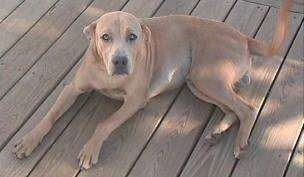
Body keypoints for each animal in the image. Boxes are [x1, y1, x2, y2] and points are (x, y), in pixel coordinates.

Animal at [13, 0, 294, 169]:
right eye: (105, 37)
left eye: (132, 37)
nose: (120, 61)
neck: (106, 74)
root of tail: (244, 37)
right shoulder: (72, 89)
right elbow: (49, 116)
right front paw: (29, 140)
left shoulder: (135, 101)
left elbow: (104, 124)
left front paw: (90, 149)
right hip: (199, 83)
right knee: (233, 110)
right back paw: (217, 131)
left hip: (207, 77)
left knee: (246, 108)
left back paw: (240, 143)